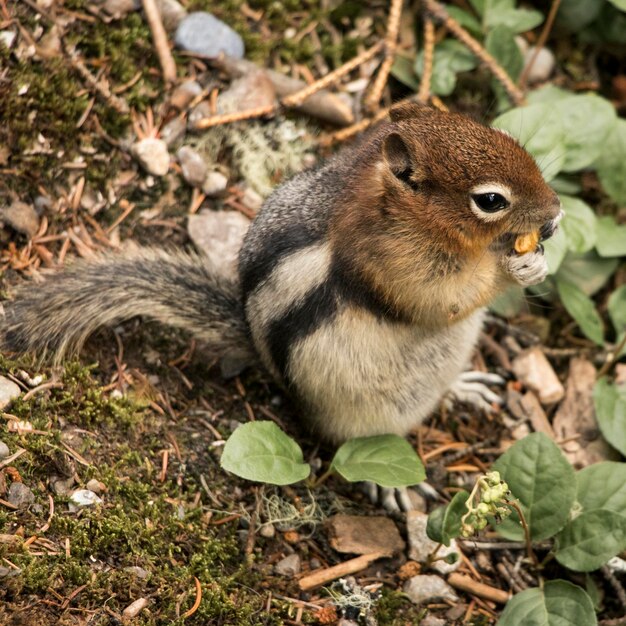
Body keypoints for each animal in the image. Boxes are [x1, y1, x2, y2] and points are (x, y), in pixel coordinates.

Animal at [2, 102, 560, 444]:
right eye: (490, 200)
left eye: (503, 134)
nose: (555, 210)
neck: (387, 200)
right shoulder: (393, 261)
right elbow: (441, 300)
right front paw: (514, 267)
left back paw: (464, 385)